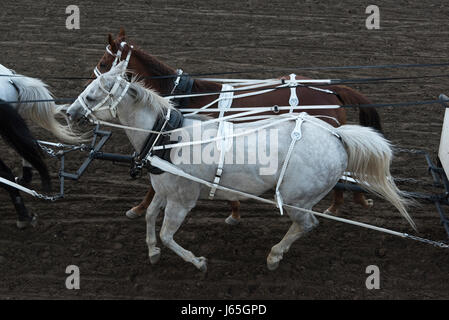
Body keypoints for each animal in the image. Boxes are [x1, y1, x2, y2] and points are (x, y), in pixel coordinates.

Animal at [65, 63, 412, 272]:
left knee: (307, 224)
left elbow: (167, 234)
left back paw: (274, 255)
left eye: (92, 95)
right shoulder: (164, 190)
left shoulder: (182, 201)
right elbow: (151, 217)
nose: (69, 112)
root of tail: (337, 135)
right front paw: (151, 251)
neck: (167, 138)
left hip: (296, 199)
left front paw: (198, 261)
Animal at [94, 28, 382, 224]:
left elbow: (155, 183)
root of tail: (332, 90)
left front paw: (138, 208)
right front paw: (234, 210)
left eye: (103, 63)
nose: (90, 89)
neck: (186, 96)